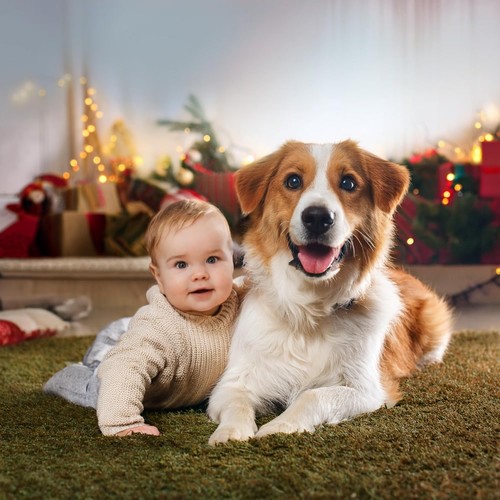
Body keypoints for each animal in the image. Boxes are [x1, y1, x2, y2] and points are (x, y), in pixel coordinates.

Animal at [207, 139, 454, 444]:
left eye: (348, 183)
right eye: (293, 181)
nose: (317, 217)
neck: (309, 309)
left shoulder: (367, 389)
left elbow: (313, 396)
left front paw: (281, 426)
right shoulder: (232, 383)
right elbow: (236, 403)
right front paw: (231, 433)